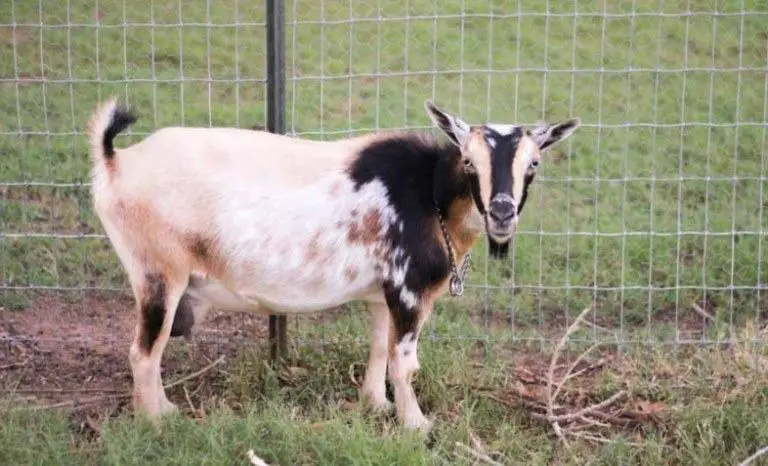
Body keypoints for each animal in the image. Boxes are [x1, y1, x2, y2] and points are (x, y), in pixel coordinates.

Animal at [86, 98, 579, 431]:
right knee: (144, 352)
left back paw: (164, 410)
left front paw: (376, 405)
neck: (430, 194)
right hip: (159, 272)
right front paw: (416, 425)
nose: (502, 212)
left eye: (534, 163)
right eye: (469, 161)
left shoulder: (383, 294)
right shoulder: (408, 291)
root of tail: (115, 163)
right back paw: (155, 421)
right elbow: (405, 361)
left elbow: (380, 347)